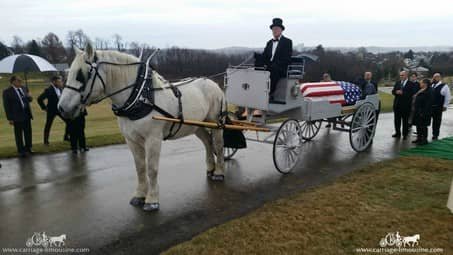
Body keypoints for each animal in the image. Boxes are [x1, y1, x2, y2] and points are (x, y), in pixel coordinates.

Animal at [58, 42, 224, 211]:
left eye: (81, 75)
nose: (62, 108)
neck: (141, 97)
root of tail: (213, 83)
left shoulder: (153, 139)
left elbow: (151, 168)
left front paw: (152, 200)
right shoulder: (131, 140)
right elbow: (140, 167)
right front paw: (139, 195)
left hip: (215, 123)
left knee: (218, 145)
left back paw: (218, 172)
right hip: (197, 126)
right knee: (208, 143)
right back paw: (210, 168)